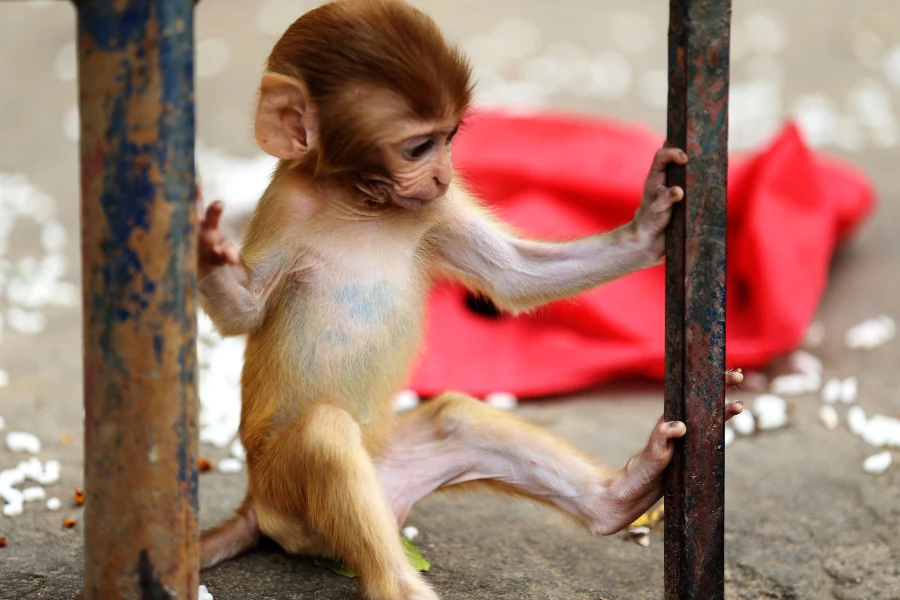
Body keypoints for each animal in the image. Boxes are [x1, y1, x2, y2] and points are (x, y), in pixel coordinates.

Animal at [196, 2, 745, 599]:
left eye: (449, 137)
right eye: (418, 147)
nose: (443, 174)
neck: (357, 205)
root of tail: (256, 504)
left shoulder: (432, 208)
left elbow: (512, 277)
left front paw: (647, 226)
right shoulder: (286, 206)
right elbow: (243, 312)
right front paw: (206, 252)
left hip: (392, 466)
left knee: (454, 421)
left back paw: (621, 497)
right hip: (287, 495)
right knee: (325, 433)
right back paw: (401, 585)